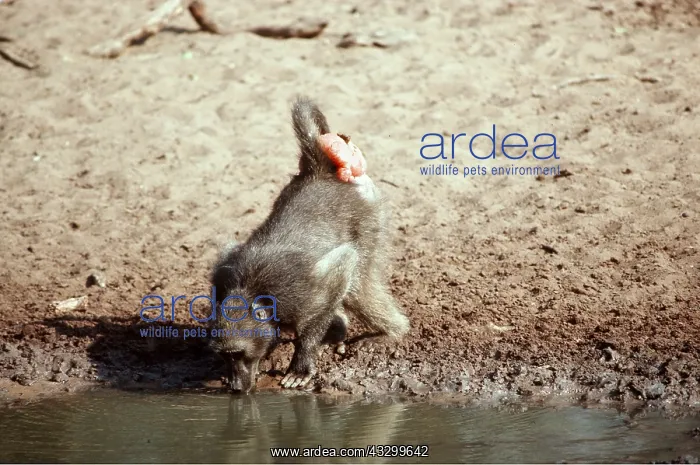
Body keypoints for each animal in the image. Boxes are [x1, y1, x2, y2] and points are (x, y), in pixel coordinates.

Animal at [208, 96, 410, 394]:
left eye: (238, 355)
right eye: (225, 356)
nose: (235, 387)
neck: (252, 290)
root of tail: (320, 170)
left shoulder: (301, 291)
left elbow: (341, 269)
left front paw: (301, 365)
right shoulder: (222, 275)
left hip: (369, 216)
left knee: (358, 285)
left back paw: (392, 333)